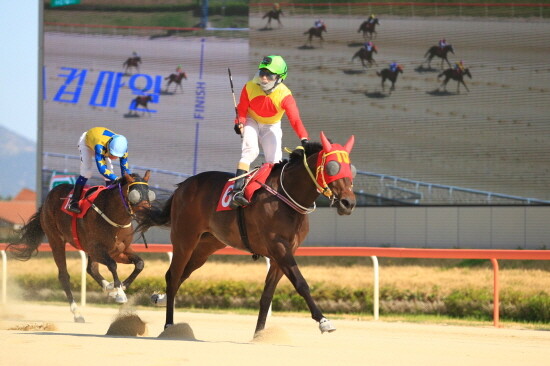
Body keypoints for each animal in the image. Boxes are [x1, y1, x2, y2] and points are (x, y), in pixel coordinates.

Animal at [7, 170, 155, 322]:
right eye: (135, 194)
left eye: (150, 193)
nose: (149, 214)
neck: (113, 218)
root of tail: (48, 197)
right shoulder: (96, 249)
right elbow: (112, 265)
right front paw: (119, 292)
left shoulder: (119, 250)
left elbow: (140, 263)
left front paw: (121, 286)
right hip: (55, 240)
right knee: (64, 276)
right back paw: (77, 313)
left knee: (91, 269)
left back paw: (108, 287)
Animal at [138, 132, 358, 338]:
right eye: (332, 167)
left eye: (351, 169)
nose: (348, 202)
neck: (287, 197)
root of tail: (183, 185)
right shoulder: (278, 247)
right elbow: (301, 283)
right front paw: (324, 321)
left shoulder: (282, 254)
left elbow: (267, 295)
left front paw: (259, 334)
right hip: (185, 238)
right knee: (173, 275)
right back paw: (169, 326)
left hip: (207, 245)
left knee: (182, 274)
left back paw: (161, 298)